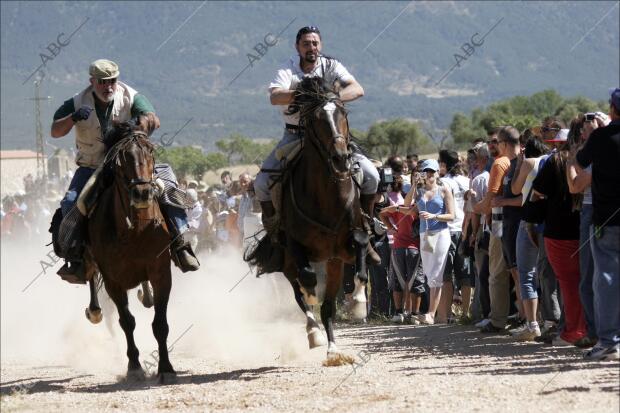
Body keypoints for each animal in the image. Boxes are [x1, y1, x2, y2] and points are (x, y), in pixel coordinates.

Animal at [81, 120, 176, 384]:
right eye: (121, 158)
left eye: (151, 152)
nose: (143, 193)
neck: (136, 229)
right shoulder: (113, 281)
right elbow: (126, 322)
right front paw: (134, 367)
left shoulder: (161, 272)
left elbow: (160, 324)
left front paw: (166, 367)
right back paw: (94, 310)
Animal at [246, 76, 368, 354]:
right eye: (317, 119)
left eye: (343, 113)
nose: (341, 158)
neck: (327, 196)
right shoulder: (296, 247)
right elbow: (308, 282)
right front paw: (314, 305)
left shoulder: (347, 244)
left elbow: (361, 265)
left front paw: (358, 302)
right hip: (288, 262)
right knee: (299, 293)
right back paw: (315, 333)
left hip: (332, 262)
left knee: (328, 306)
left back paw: (333, 348)